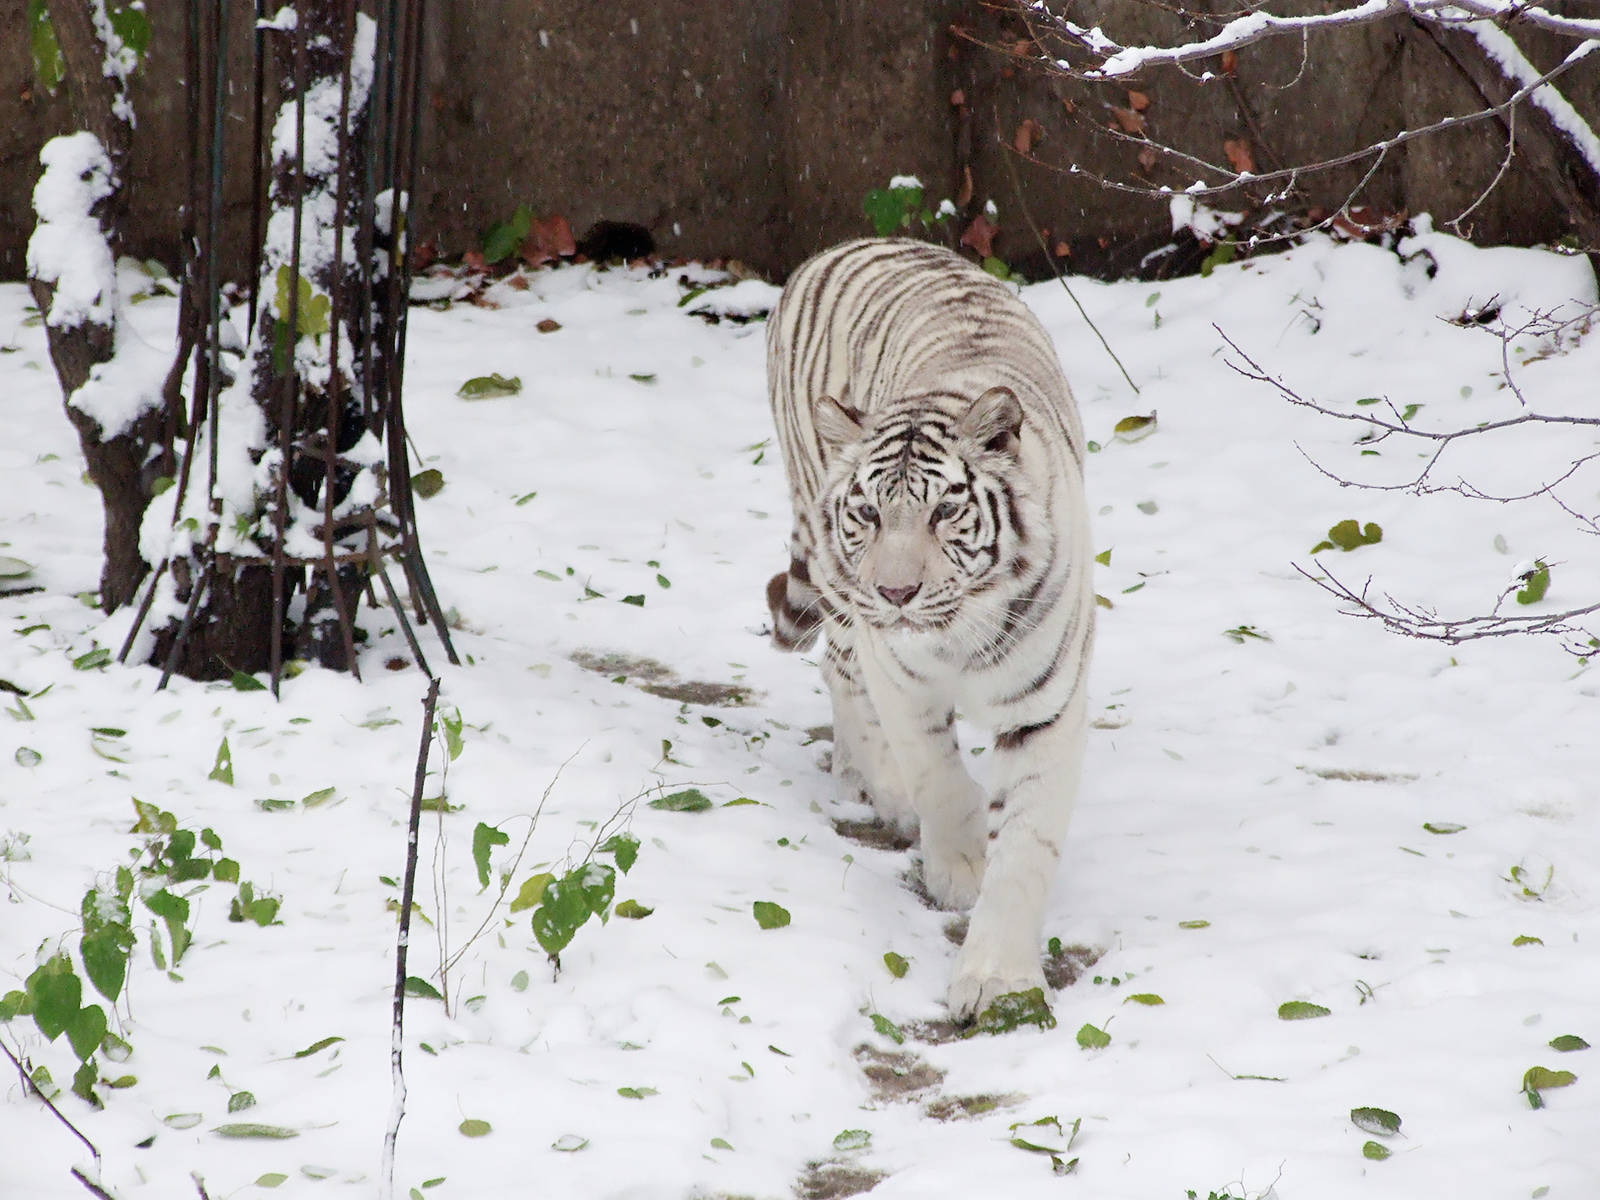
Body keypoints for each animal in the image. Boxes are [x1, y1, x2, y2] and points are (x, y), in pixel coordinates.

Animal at [764, 237, 1094, 1020]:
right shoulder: (900, 672)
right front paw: (960, 865)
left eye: (945, 511)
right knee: (840, 668)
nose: (896, 592)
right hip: (836, 585)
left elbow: (1027, 842)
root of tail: (840, 246)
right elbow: (936, 774)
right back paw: (875, 786)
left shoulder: (1048, 703)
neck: (959, 633)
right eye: (868, 513)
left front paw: (1000, 980)